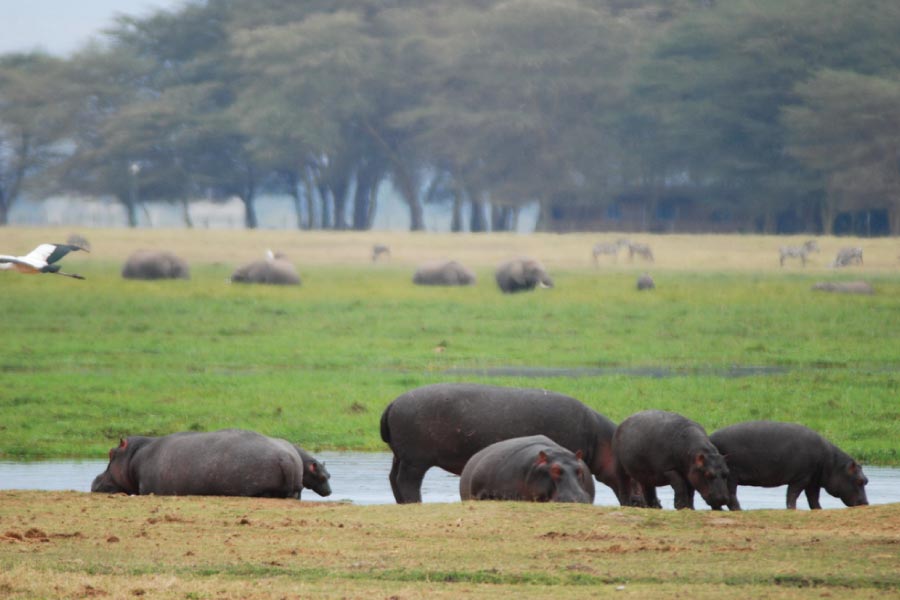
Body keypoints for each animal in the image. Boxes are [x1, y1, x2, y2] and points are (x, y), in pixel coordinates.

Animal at [709, 421, 869, 510]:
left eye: (867, 480)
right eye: (860, 481)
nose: (866, 503)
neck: (833, 464)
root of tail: (710, 437)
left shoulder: (813, 481)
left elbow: (813, 498)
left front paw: (819, 509)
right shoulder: (801, 478)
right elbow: (792, 494)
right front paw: (792, 509)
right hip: (731, 476)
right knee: (731, 494)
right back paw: (739, 509)